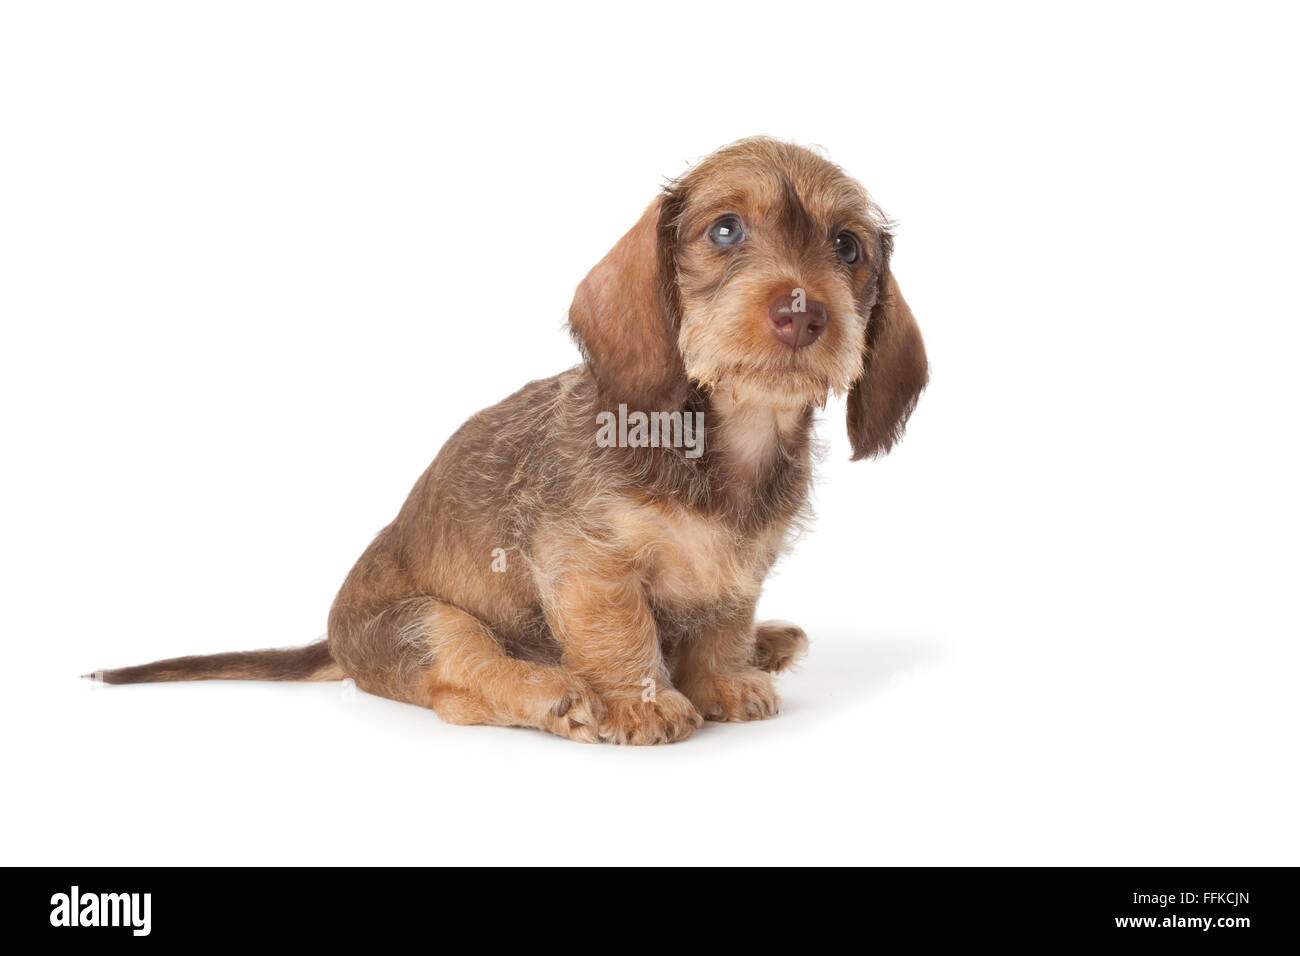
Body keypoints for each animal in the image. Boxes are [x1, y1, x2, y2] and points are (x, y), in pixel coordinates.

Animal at [96, 136, 930, 749]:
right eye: (725, 230)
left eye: (847, 247)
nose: (802, 312)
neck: (727, 437)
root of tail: (334, 640)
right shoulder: (587, 565)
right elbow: (622, 632)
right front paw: (642, 699)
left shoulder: (741, 570)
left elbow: (722, 623)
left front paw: (725, 674)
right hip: (429, 623)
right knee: (463, 683)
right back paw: (556, 694)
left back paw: (770, 642)